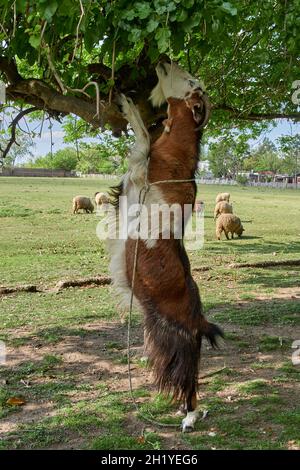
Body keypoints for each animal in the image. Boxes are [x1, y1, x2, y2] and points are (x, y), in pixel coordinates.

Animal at [107, 62, 223, 434]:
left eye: (191, 81)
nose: (165, 59)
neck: (174, 155)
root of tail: (199, 321)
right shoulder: (131, 183)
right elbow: (143, 136)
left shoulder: (141, 173)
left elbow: (142, 135)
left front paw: (126, 101)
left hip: (178, 341)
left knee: (188, 381)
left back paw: (189, 417)